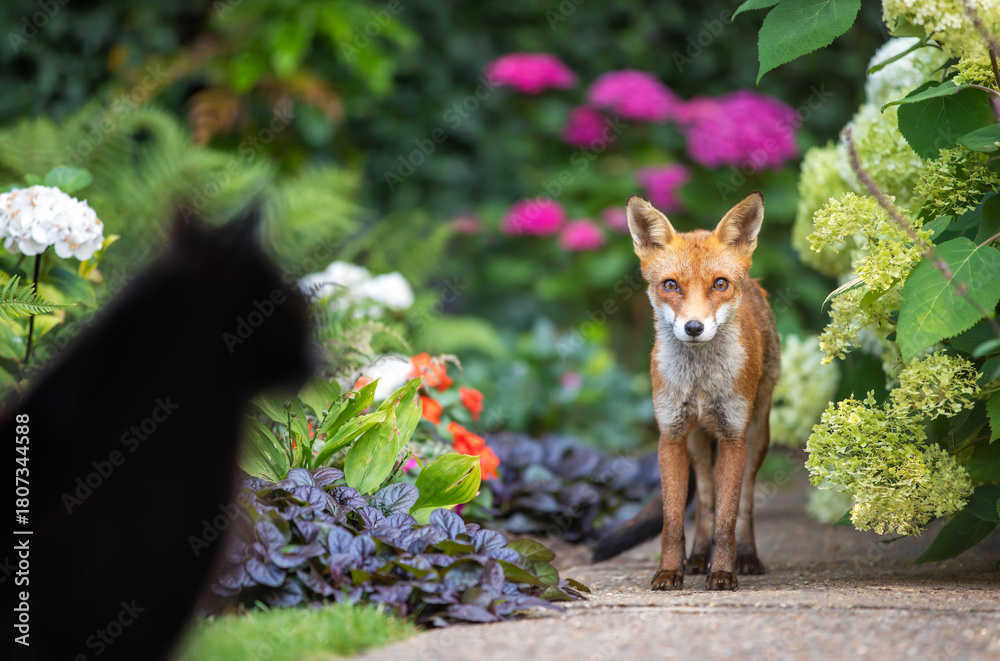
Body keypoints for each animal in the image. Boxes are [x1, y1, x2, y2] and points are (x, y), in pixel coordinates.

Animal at [592, 191, 780, 591]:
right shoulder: (671, 437)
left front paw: (723, 572)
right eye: (671, 285)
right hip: (697, 443)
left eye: (720, 284)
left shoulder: (733, 438)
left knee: (745, 504)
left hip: (757, 435)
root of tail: (754, 283)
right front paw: (669, 571)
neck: (700, 383)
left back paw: (747, 557)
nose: (694, 327)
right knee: (706, 500)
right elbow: (674, 521)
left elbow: (727, 519)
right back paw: (696, 558)